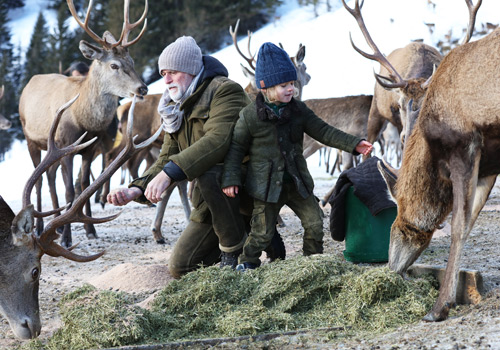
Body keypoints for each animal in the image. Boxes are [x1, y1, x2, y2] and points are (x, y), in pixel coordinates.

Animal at [19, 0, 148, 249]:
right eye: (114, 65)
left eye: (132, 61)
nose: (142, 88)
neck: (83, 119)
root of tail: (28, 84)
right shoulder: (65, 144)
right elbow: (70, 190)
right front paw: (67, 238)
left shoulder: (89, 148)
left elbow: (85, 184)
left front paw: (90, 231)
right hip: (31, 140)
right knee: (38, 181)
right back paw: (40, 227)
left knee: (50, 178)